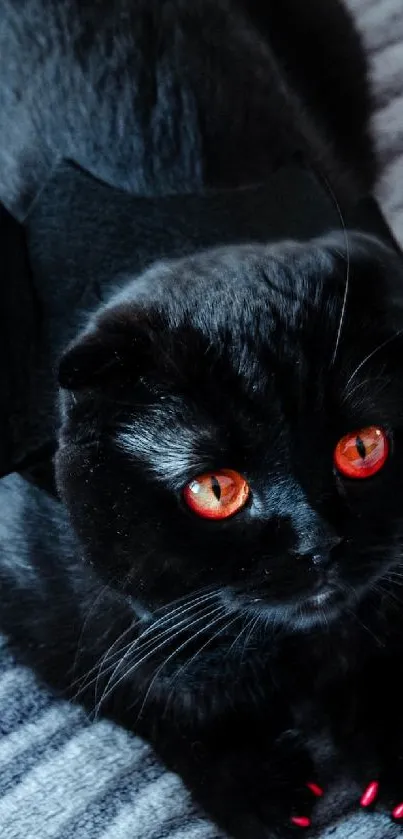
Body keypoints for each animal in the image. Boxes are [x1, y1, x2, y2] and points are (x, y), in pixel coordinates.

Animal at [0, 1, 403, 839]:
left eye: (362, 447)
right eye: (215, 489)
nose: (320, 541)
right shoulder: (33, 593)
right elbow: (139, 679)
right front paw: (252, 782)